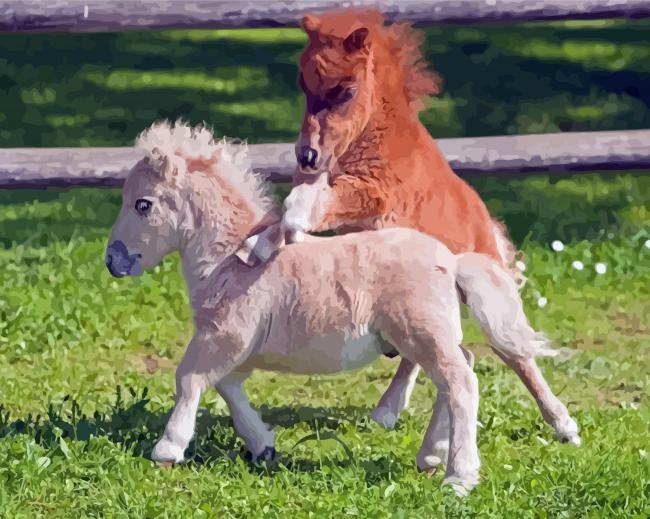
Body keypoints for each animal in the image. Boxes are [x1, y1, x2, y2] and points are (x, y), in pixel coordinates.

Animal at [105, 121, 579, 496]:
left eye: (143, 204)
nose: (113, 261)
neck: (228, 260)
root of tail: (452, 260)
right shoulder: (238, 349)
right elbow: (226, 386)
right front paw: (263, 445)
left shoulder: (224, 336)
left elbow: (188, 378)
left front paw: (168, 448)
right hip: (427, 337)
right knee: (457, 372)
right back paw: (430, 456)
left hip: (422, 334)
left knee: (462, 382)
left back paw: (458, 477)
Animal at [283, 8, 546, 432]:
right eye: (304, 86)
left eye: (346, 89)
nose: (307, 154)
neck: (379, 139)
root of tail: (486, 224)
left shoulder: (376, 196)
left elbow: (318, 203)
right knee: (426, 352)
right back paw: (387, 409)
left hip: (484, 289)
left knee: (513, 352)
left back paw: (564, 426)